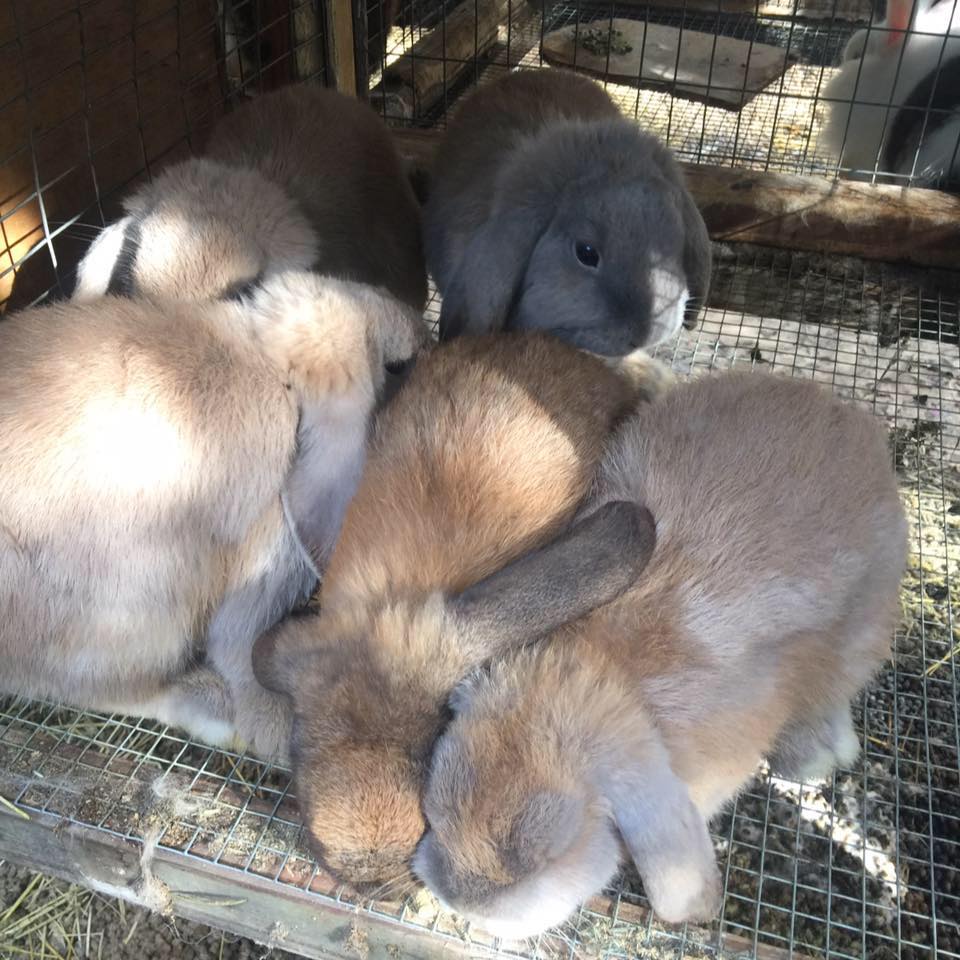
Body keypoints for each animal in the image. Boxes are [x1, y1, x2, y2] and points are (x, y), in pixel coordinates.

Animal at [0, 271, 425, 762]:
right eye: (397, 366)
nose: (424, 332)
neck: (270, 368)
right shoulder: (263, 560)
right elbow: (240, 648)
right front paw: (275, 728)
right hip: (139, 611)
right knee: (92, 687)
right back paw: (213, 709)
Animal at [415, 371, 908, 939]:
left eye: (554, 856)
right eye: (436, 814)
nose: (461, 903)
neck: (598, 668)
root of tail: (851, 418)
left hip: (862, 629)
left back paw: (813, 755)